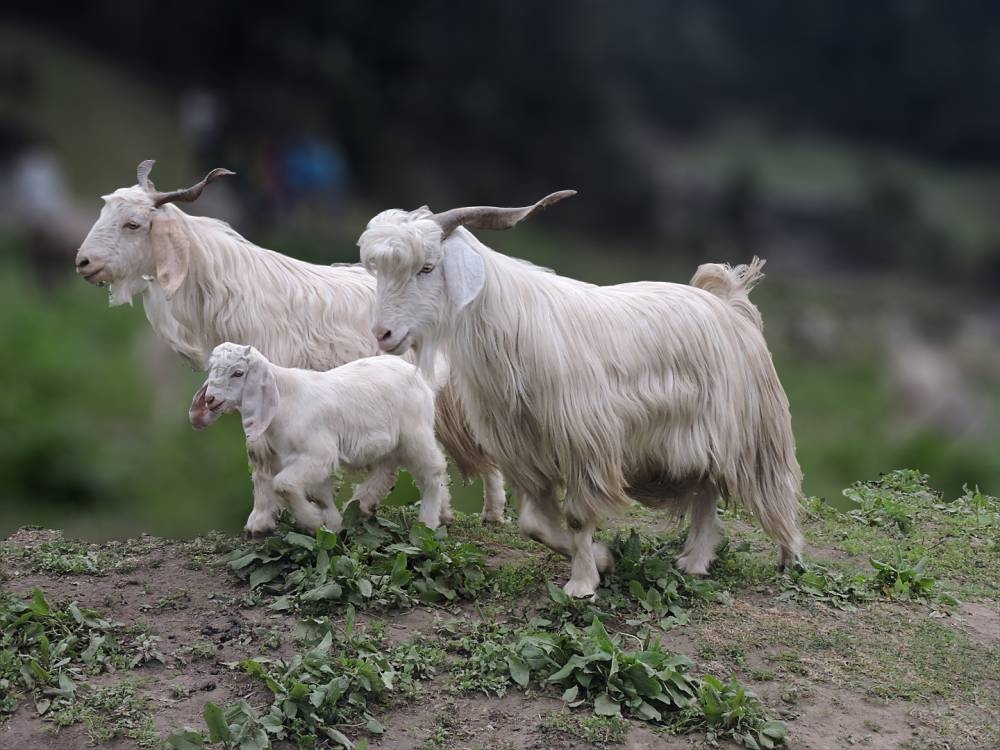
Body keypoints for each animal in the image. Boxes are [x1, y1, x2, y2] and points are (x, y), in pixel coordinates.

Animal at [188, 346, 454, 536]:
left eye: (238, 373)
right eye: (212, 370)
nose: (210, 399)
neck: (285, 399)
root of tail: (424, 379)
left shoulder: (317, 454)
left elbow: (282, 484)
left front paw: (313, 520)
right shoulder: (302, 459)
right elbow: (320, 493)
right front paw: (332, 524)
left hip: (415, 433)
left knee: (433, 469)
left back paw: (428, 522)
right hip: (386, 442)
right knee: (387, 470)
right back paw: (363, 505)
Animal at [360, 194, 804, 600]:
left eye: (427, 267)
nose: (382, 333)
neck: (511, 327)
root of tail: (730, 306)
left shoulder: (584, 444)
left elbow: (575, 517)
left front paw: (582, 583)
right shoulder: (525, 452)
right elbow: (534, 524)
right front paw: (605, 559)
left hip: (756, 437)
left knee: (775, 491)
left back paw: (790, 560)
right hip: (698, 441)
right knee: (706, 491)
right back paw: (695, 561)